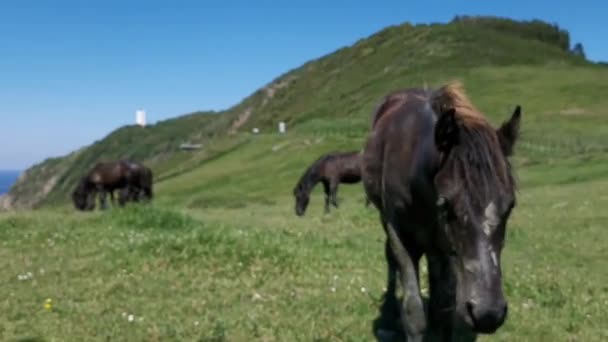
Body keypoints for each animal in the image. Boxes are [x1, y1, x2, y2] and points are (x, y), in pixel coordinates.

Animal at [360, 81, 524, 340]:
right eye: (446, 203)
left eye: (510, 205)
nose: (488, 314)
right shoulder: (401, 235)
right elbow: (413, 310)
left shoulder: (447, 245)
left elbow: (446, 304)